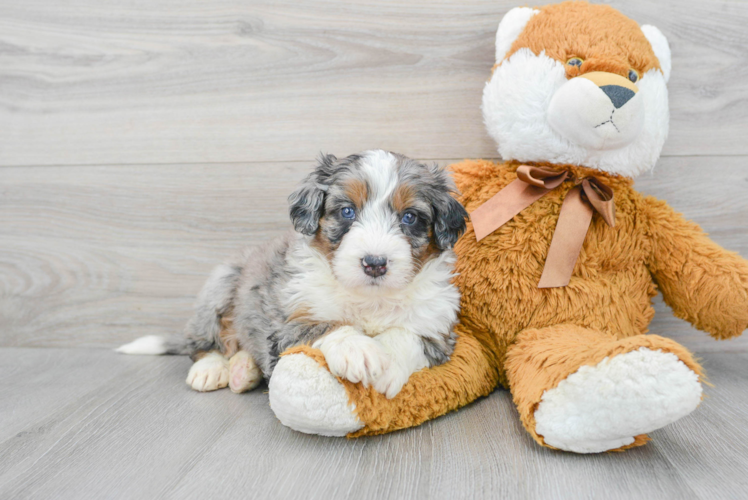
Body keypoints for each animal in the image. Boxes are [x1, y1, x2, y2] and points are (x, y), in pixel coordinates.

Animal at [117, 150, 468, 400]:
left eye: (410, 217)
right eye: (347, 211)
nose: (374, 263)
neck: (369, 298)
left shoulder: (437, 328)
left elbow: (405, 335)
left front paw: (388, 364)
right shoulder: (286, 323)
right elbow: (327, 325)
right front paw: (359, 351)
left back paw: (243, 370)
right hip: (220, 286)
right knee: (202, 344)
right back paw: (211, 369)